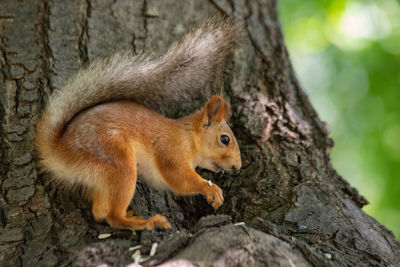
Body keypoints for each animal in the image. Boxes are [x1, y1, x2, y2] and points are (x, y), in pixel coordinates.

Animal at [35, 18, 241, 230]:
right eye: (224, 139)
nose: (237, 167)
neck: (188, 136)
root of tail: (58, 151)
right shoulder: (171, 150)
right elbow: (178, 178)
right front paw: (210, 188)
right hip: (117, 162)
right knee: (113, 216)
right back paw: (146, 222)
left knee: (100, 213)